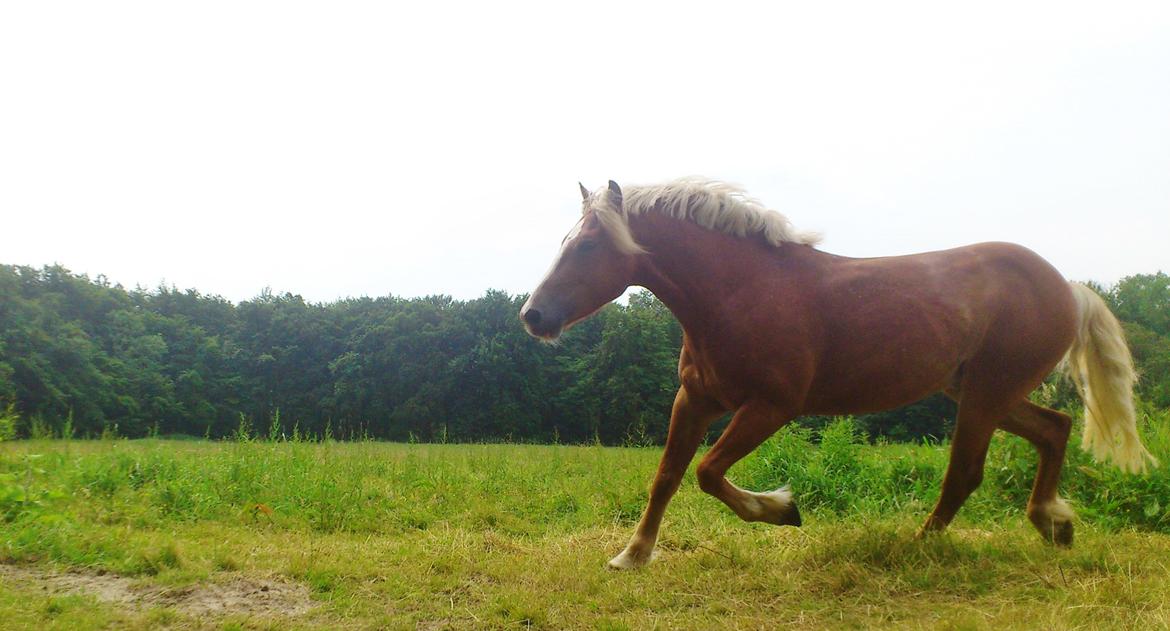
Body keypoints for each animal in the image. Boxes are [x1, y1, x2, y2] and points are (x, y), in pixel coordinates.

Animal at [524, 175, 1160, 571]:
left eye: (587, 246)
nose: (533, 316)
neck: (743, 293)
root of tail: (1068, 288)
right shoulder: (695, 400)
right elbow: (668, 476)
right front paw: (631, 556)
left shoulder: (773, 406)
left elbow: (706, 472)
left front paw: (781, 509)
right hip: (983, 391)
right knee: (1053, 428)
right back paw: (1055, 523)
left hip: (985, 394)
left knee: (965, 474)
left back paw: (918, 547)